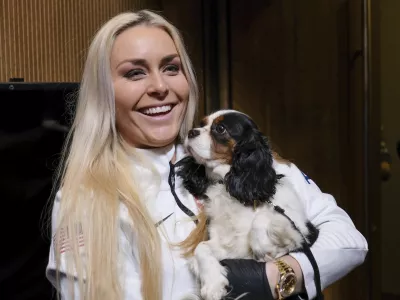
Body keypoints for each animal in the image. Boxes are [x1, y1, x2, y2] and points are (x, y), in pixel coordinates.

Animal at [175, 109, 318, 300]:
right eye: (202, 123)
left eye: (220, 128)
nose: (191, 132)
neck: (228, 185)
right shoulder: (230, 246)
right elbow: (201, 248)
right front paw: (213, 284)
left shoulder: (303, 230)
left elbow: (263, 217)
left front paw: (263, 246)